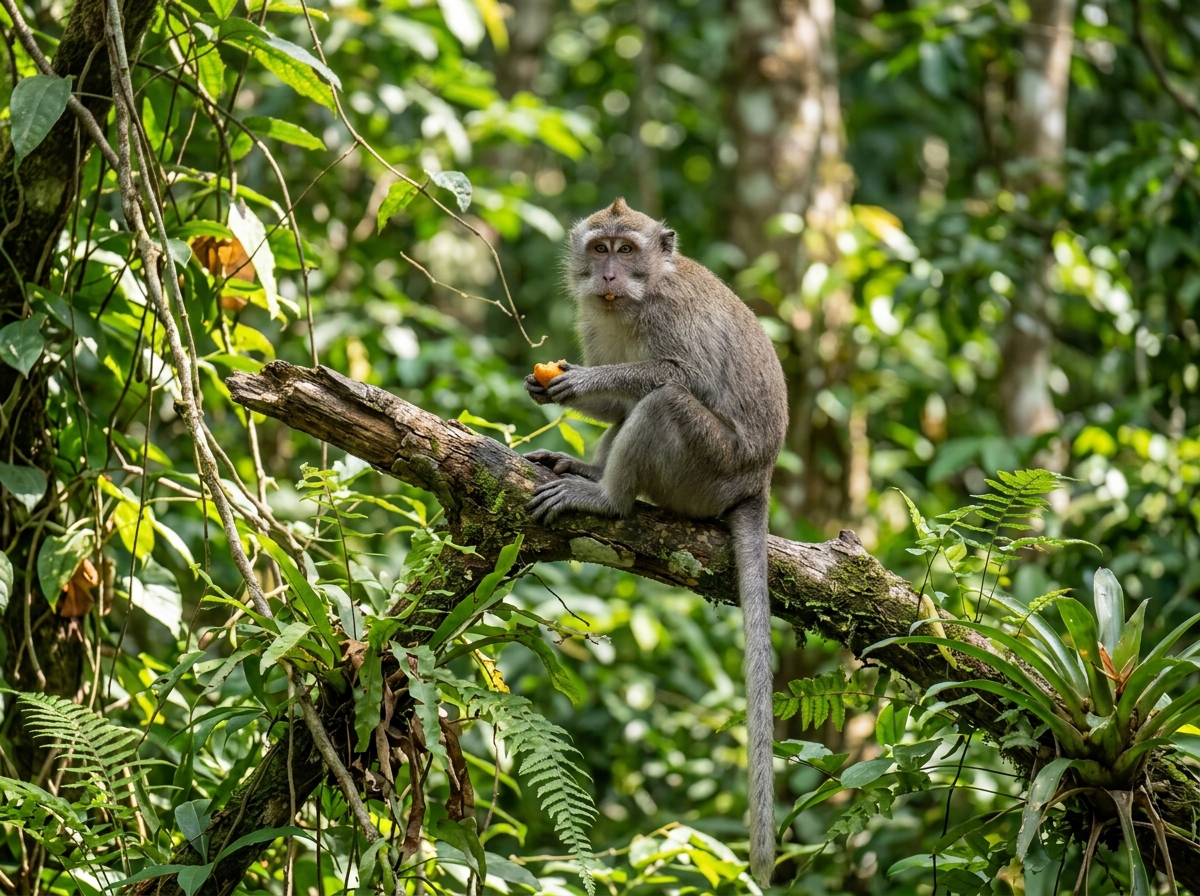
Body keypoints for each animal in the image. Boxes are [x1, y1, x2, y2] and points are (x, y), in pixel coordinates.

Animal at [523, 198, 788, 887]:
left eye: (627, 248)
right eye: (599, 249)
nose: (610, 276)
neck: (634, 300)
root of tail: (759, 479)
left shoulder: (672, 316)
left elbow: (676, 376)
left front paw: (583, 380)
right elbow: (611, 405)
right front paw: (550, 387)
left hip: (707, 467)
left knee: (663, 401)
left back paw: (607, 498)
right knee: (630, 413)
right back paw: (587, 471)